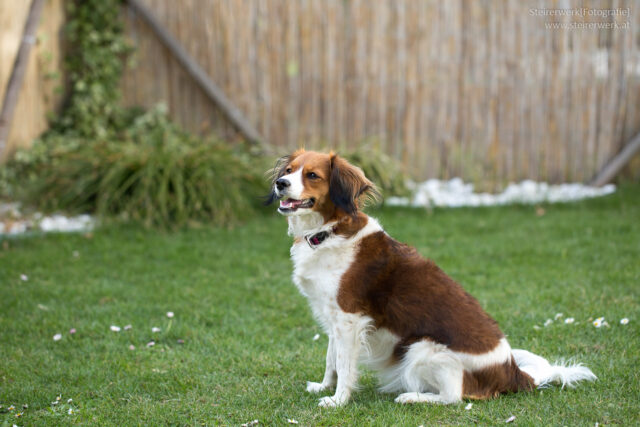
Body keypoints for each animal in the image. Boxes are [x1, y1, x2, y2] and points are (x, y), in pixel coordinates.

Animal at [266, 150, 596, 408]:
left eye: (312, 175)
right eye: (289, 170)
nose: (280, 184)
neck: (329, 231)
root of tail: (512, 371)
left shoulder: (349, 319)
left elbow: (345, 366)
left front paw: (338, 400)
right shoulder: (333, 317)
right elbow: (331, 359)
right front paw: (324, 387)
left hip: (422, 348)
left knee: (454, 397)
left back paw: (412, 397)